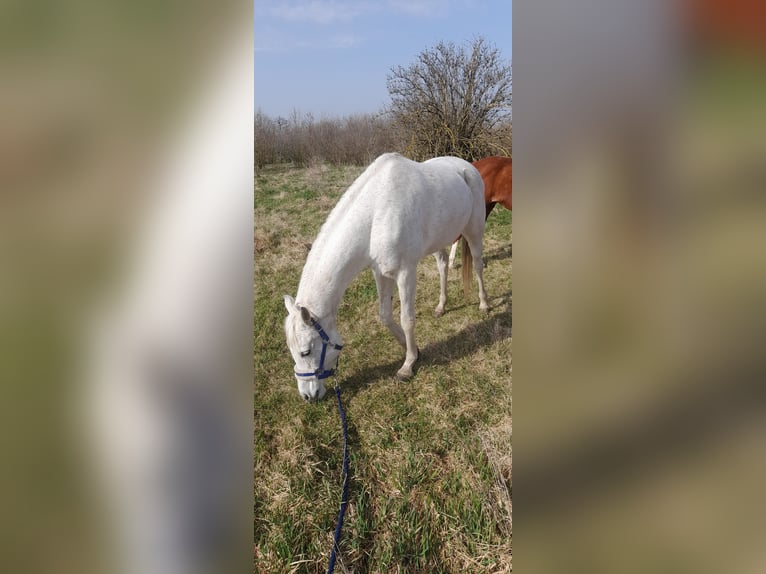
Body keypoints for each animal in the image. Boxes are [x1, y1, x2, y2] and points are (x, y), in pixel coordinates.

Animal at [284, 154, 492, 404]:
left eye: (306, 351)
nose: (308, 395)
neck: (376, 213)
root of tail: (467, 166)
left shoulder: (405, 273)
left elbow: (407, 319)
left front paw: (408, 365)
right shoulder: (381, 272)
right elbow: (384, 315)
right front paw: (413, 350)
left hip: (474, 231)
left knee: (478, 265)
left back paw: (484, 304)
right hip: (438, 240)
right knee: (443, 265)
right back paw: (441, 306)